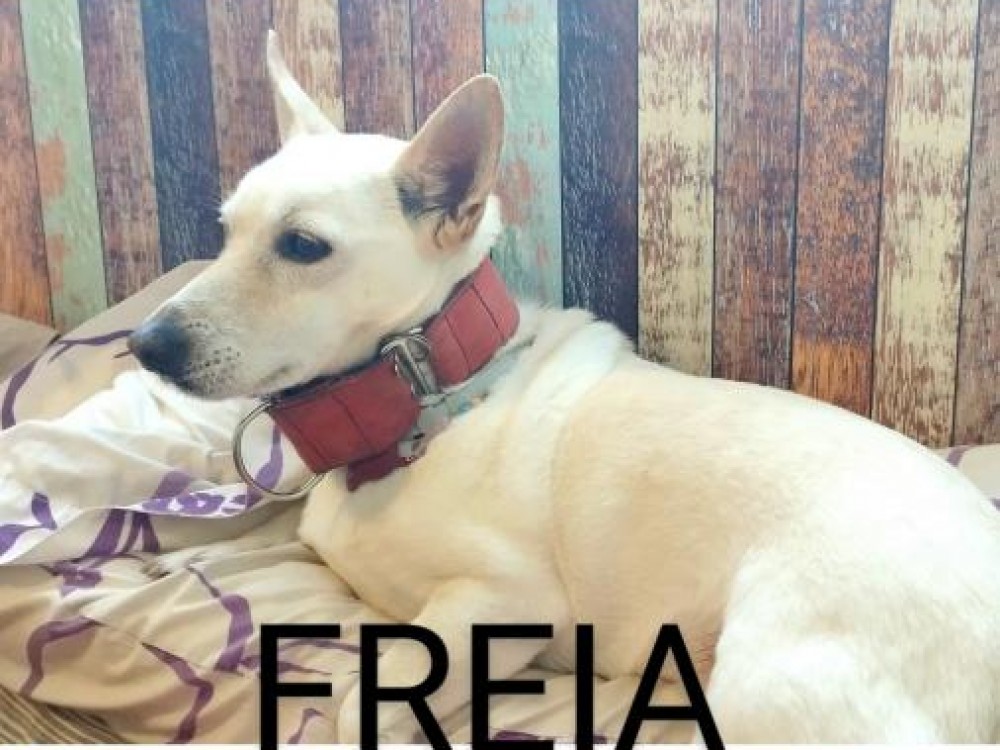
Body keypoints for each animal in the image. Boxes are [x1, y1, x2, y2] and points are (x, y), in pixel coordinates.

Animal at [128, 32, 1000, 743]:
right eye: (225, 231)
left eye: (304, 246)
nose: (143, 344)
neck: (429, 404)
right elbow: (255, 532)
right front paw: (177, 555)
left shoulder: (508, 604)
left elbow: (361, 698)